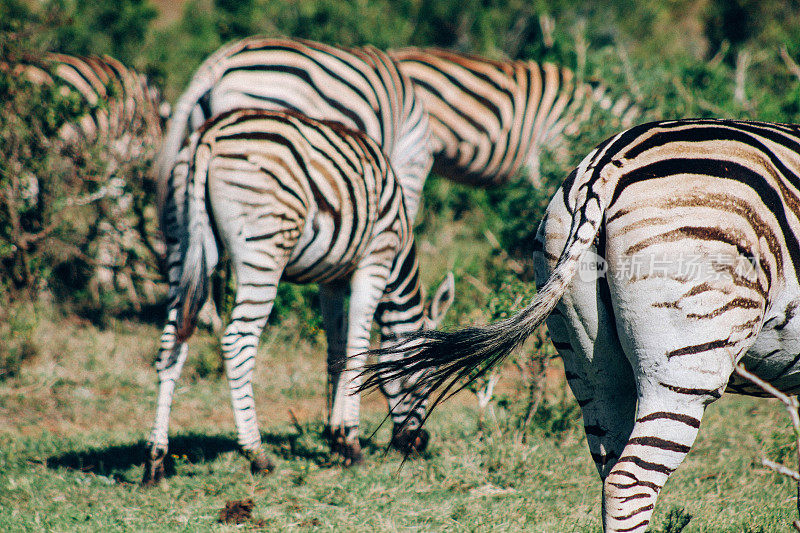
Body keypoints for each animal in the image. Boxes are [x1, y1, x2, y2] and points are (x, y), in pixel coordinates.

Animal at [144, 109, 454, 482]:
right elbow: (358, 349)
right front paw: (351, 442)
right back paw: (257, 455)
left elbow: (337, 351)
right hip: (263, 249)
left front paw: (336, 437)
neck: (398, 256)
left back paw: (156, 460)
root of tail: (208, 135)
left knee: (171, 343)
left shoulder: (332, 278)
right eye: (427, 380)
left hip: (182, 241)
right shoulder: (374, 259)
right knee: (237, 342)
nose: (419, 442)